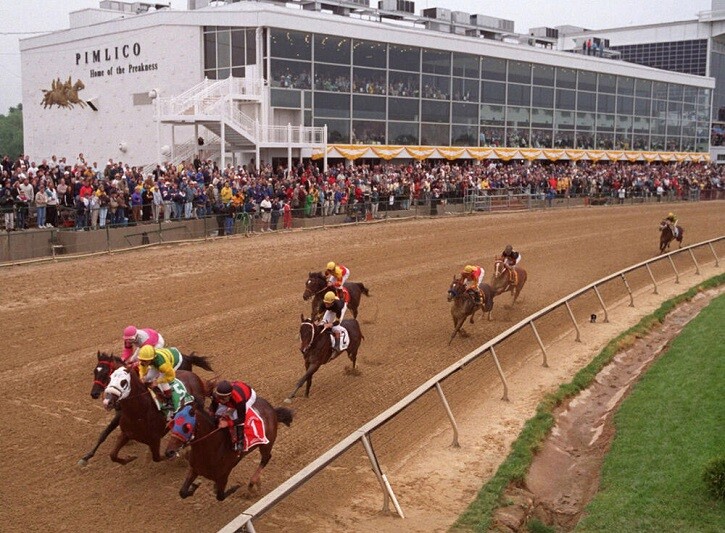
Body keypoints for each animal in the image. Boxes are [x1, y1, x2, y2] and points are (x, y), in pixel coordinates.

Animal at [81, 348, 215, 464]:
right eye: (94, 372)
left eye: (106, 373)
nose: (94, 394)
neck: (139, 414)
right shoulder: (125, 432)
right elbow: (112, 453)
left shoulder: (154, 439)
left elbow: (158, 457)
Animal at [163, 400, 292, 498]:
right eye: (172, 424)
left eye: (186, 427)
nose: (169, 452)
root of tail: (271, 409)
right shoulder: (194, 468)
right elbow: (182, 492)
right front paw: (194, 486)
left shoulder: (224, 475)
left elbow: (220, 495)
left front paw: (235, 487)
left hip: (266, 444)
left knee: (266, 458)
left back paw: (252, 483)